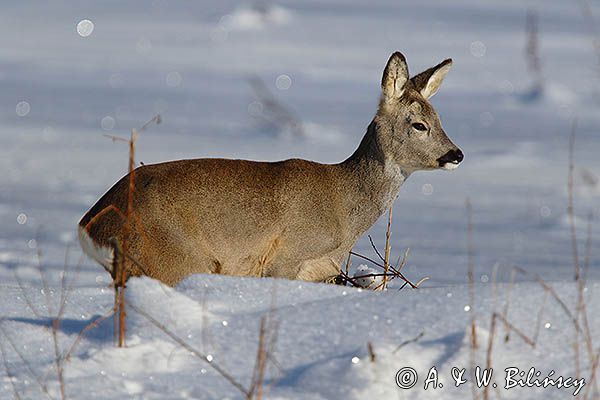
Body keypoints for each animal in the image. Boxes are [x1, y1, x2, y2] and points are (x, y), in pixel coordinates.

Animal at [79, 51, 464, 286]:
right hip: (168, 259)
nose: (456, 154)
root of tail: (91, 223)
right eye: (419, 125)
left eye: (440, 119)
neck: (343, 206)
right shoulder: (285, 259)